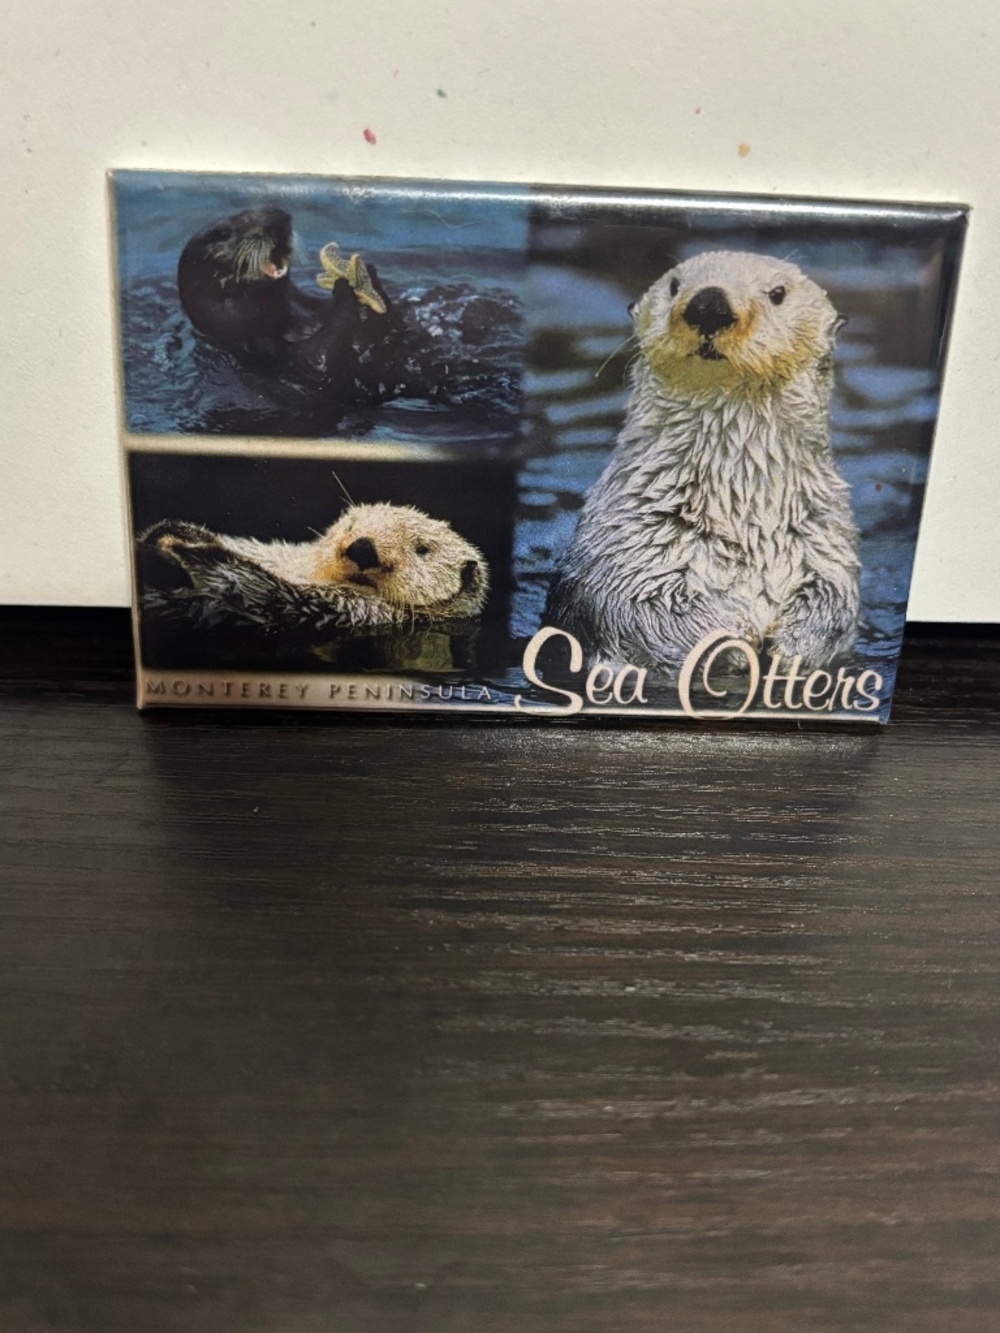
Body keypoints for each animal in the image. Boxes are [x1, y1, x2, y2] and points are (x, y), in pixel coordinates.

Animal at [547, 251, 860, 670]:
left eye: (778, 293)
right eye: (675, 285)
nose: (709, 304)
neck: (741, 501)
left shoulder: (824, 536)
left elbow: (837, 598)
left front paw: (794, 643)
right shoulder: (625, 539)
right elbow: (636, 603)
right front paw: (735, 637)